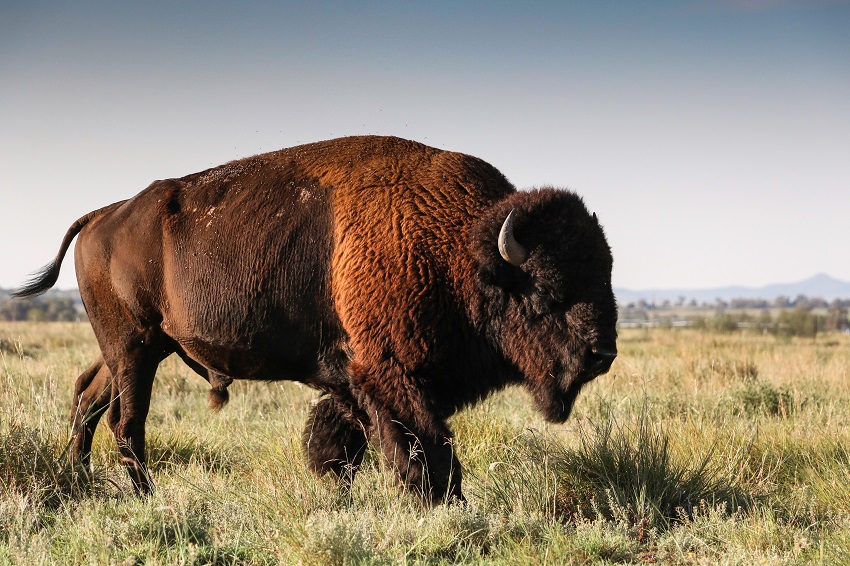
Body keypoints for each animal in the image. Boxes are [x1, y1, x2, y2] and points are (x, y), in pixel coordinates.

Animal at [14, 136, 617, 503]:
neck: (461, 252)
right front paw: (442, 507)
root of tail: (103, 215)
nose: (602, 353)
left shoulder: (354, 378)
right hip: (134, 346)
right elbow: (424, 452)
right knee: (126, 419)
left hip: (137, 347)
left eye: (604, 273)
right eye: (548, 293)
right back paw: (144, 494)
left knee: (89, 395)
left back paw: (80, 478)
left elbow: (337, 443)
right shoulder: (390, 376)